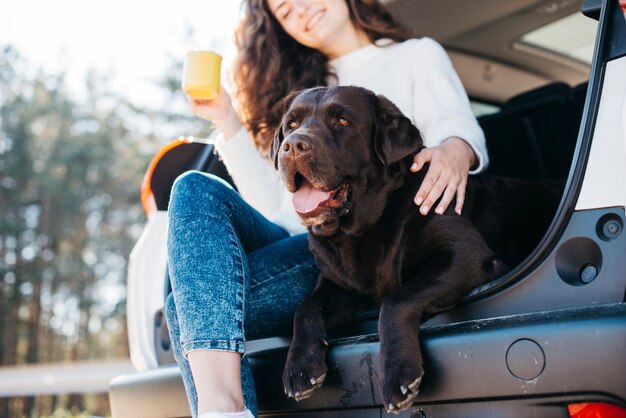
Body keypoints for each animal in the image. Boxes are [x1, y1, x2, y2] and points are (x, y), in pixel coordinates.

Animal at [270, 86, 560, 414]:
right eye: (291, 125)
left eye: (342, 121)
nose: (293, 146)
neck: (363, 228)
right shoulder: (336, 283)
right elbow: (306, 307)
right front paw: (300, 368)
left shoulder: (466, 255)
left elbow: (396, 301)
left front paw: (397, 374)